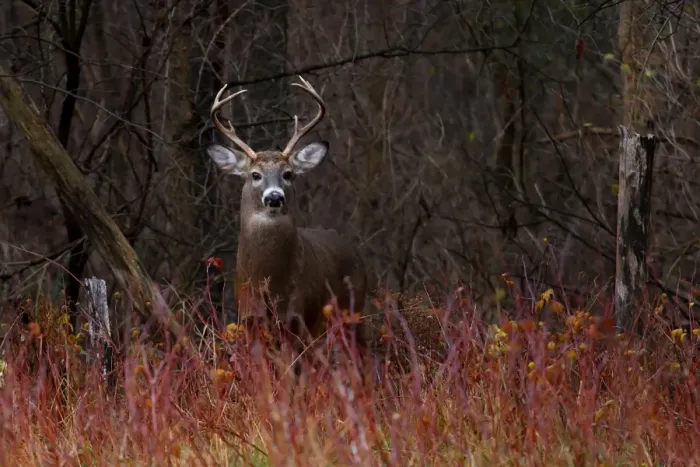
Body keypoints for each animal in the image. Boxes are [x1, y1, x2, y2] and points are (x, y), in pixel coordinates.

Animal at [205, 76, 370, 364]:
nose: (274, 197)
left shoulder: (297, 317)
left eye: (288, 173)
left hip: (352, 311)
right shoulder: (249, 319)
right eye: (255, 174)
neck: (269, 282)